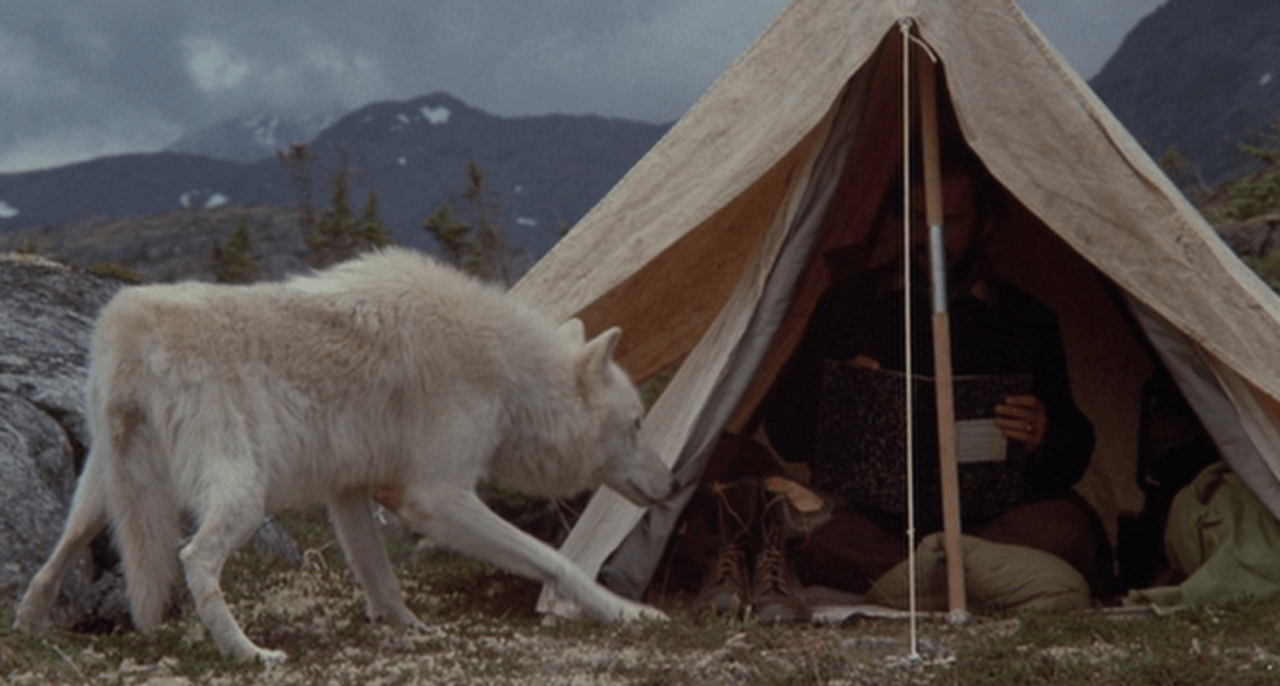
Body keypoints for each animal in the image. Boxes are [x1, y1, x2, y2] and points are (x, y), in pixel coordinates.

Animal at [12, 248, 680, 665]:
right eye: (637, 423)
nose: (672, 484)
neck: (508, 372)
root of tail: (128, 323)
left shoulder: (349, 489)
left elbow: (380, 578)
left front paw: (411, 628)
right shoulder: (437, 499)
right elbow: (559, 563)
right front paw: (628, 613)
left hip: (103, 496)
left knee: (53, 563)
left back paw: (26, 629)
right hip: (243, 498)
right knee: (195, 558)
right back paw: (247, 653)